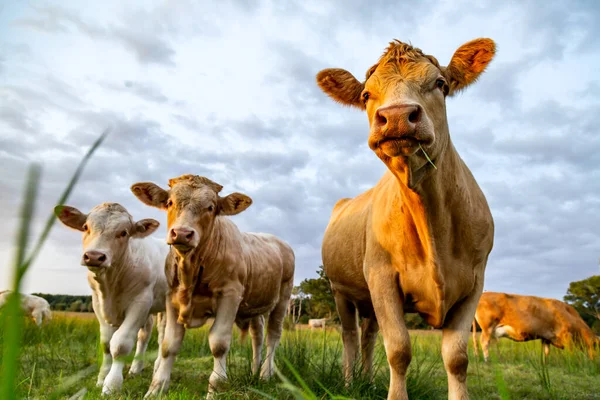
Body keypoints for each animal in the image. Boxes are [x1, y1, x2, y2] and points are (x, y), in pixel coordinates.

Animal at [54, 202, 169, 396]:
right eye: (85, 227)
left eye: (123, 232)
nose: (94, 256)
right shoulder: (98, 303)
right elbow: (106, 343)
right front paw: (101, 378)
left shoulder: (140, 302)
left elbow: (120, 344)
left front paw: (112, 385)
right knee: (145, 334)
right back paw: (136, 368)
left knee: (162, 336)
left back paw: (157, 366)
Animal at [131, 176, 296, 400]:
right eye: (170, 202)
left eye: (210, 207)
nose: (182, 233)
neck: (192, 269)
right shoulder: (171, 297)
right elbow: (168, 345)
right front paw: (156, 388)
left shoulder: (230, 296)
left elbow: (219, 344)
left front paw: (216, 387)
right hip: (254, 304)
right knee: (258, 335)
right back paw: (254, 371)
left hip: (283, 298)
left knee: (273, 336)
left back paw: (265, 374)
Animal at [316, 38, 494, 400]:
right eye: (365, 95)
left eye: (440, 84)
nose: (397, 116)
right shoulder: (381, 276)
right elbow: (398, 349)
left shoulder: (474, 282)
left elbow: (456, 357)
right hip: (342, 291)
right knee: (350, 336)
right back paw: (348, 382)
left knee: (368, 335)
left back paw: (368, 381)